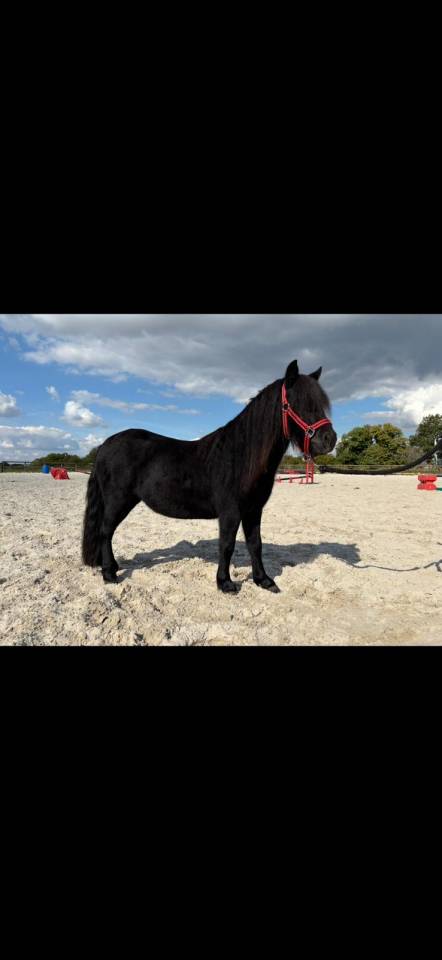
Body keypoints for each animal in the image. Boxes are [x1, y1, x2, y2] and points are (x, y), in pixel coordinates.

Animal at [82, 359, 337, 593]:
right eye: (298, 403)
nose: (330, 439)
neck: (240, 456)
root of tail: (105, 445)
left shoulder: (253, 510)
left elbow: (256, 544)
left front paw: (264, 580)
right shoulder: (230, 512)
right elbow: (227, 545)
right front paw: (225, 583)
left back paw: (112, 567)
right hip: (118, 500)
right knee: (106, 531)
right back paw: (109, 573)